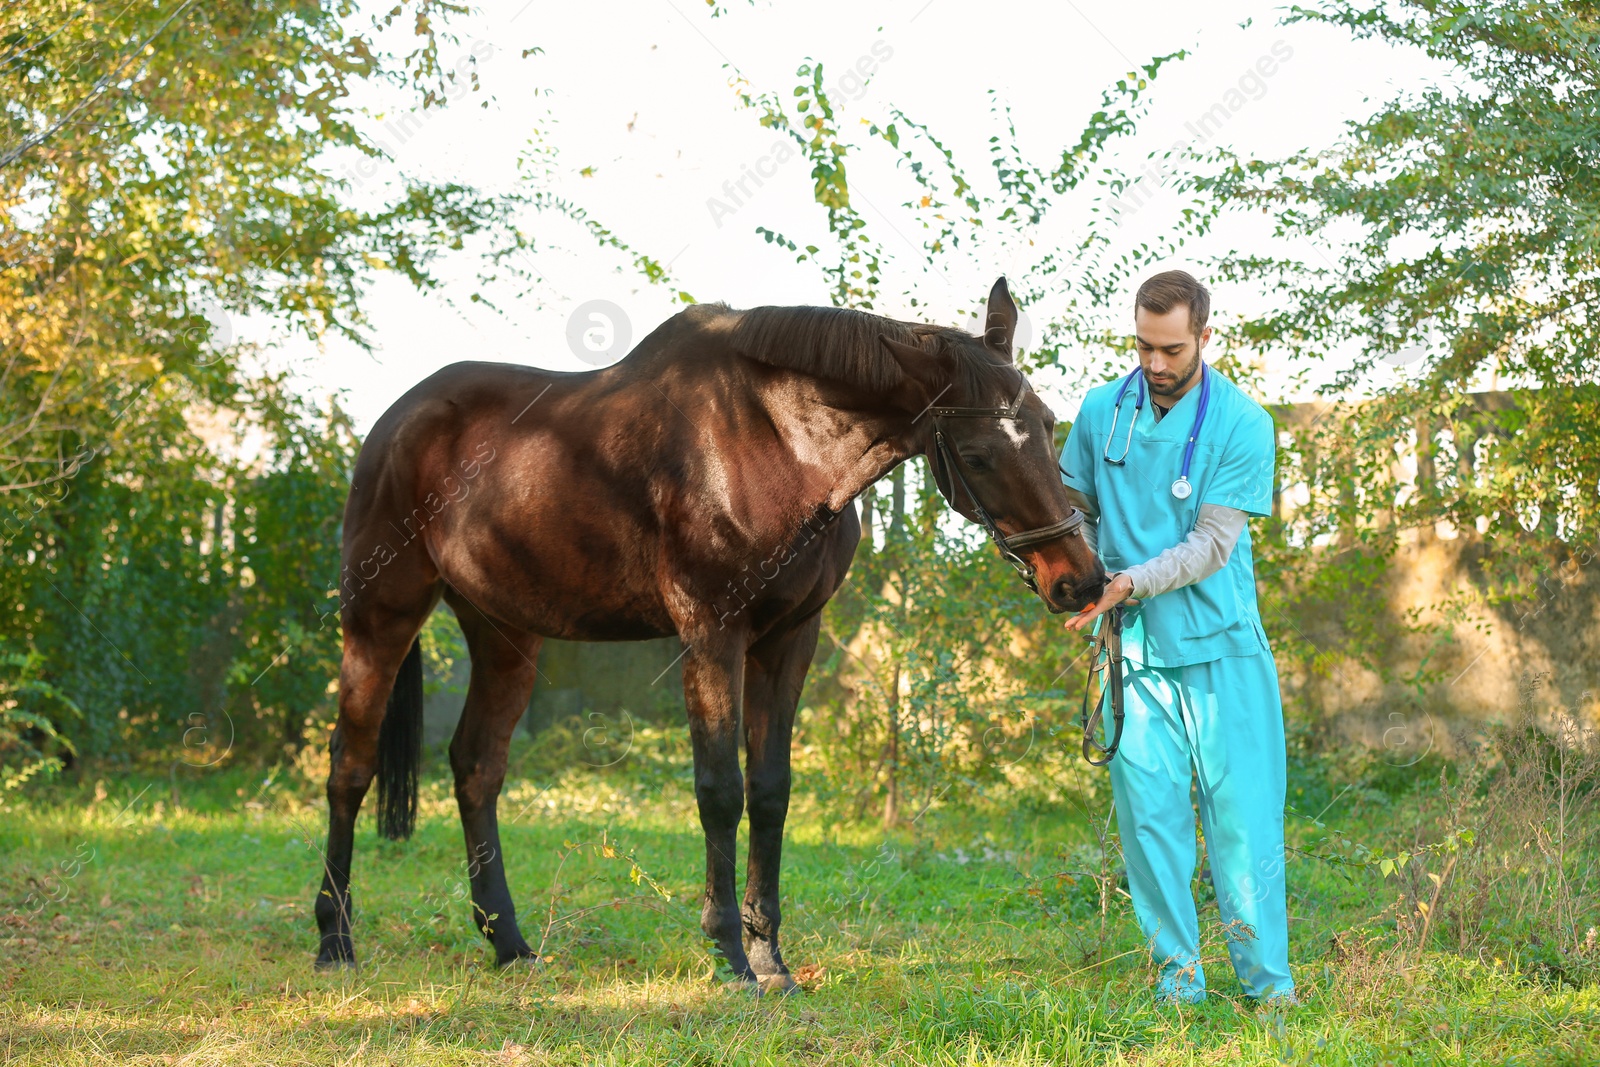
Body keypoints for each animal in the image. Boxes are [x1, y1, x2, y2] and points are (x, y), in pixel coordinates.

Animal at [316, 278, 1107, 991]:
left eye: (1046, 422)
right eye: (975, 455)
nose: (1080, 581)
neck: (774, 447)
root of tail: (395, 423)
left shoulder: (790, 640)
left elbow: (771, 789)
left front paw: (771, 956)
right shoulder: (711, 635)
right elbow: (720, 790)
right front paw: (730, 954)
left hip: (503, 631)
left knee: (477, 766)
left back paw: (508, 943)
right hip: (380, 614)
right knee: (351, 764)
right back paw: (335, 941)